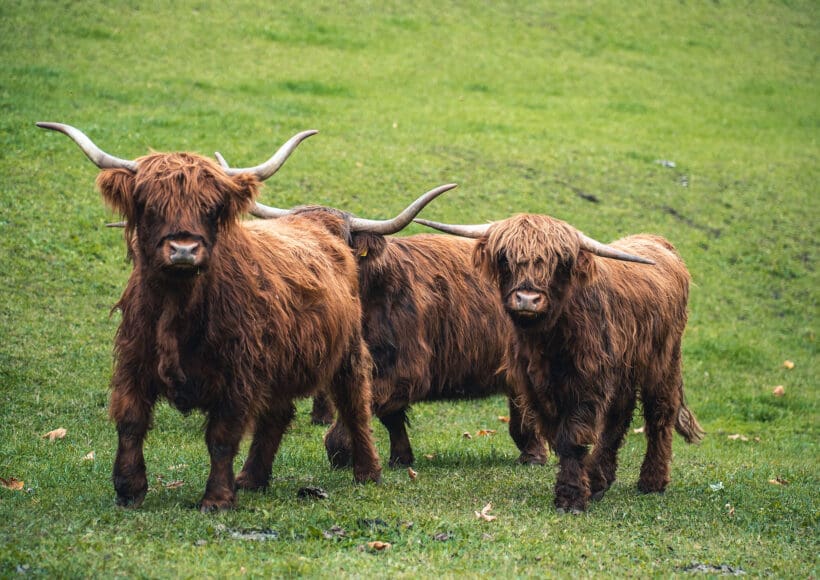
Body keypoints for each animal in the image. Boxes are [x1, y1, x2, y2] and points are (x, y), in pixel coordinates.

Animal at [35, 122, 452, 512]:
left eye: (211, 208)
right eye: (151, 206)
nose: (183, 249)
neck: (179, 306)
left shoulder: (237, 373)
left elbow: (222, 436)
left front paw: (216, 499)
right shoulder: (134, 363)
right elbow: (130, 421)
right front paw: (128, 490)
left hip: (346, 350)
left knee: (354, 405)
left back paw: (366, 472)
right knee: (277, 415)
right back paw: (252, 478)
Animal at [416, 215, 704, 516]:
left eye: (559, 262)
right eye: (505, 258)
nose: (527, 299)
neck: (549, 341)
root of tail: (658, 241)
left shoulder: (587, 384)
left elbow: (572, 438)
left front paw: (571, 498)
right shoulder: (534, 387)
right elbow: (558, 436)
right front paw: (580, 485)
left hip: (662, 361)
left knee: (659, 413)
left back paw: (652, 481)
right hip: (624, 369)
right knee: (619, 415)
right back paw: (600, 479)